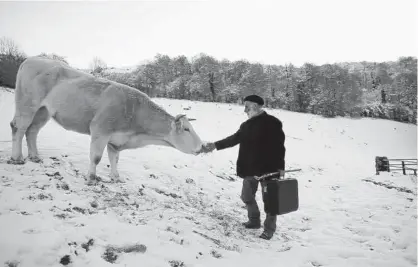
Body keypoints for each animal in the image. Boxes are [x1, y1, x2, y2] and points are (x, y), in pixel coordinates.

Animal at [8, 56, 204, 186]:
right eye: (187, 129)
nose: (202, 146)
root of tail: (31, 59)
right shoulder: (100, 130)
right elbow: (96, 157)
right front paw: (92, 178)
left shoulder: (116, 139)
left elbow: (114, 158)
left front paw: (116, 177)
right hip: (27, 105)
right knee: (19, 127)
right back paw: (17, 158)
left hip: (44, 111)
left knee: (32, 131)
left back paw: (34, 157)